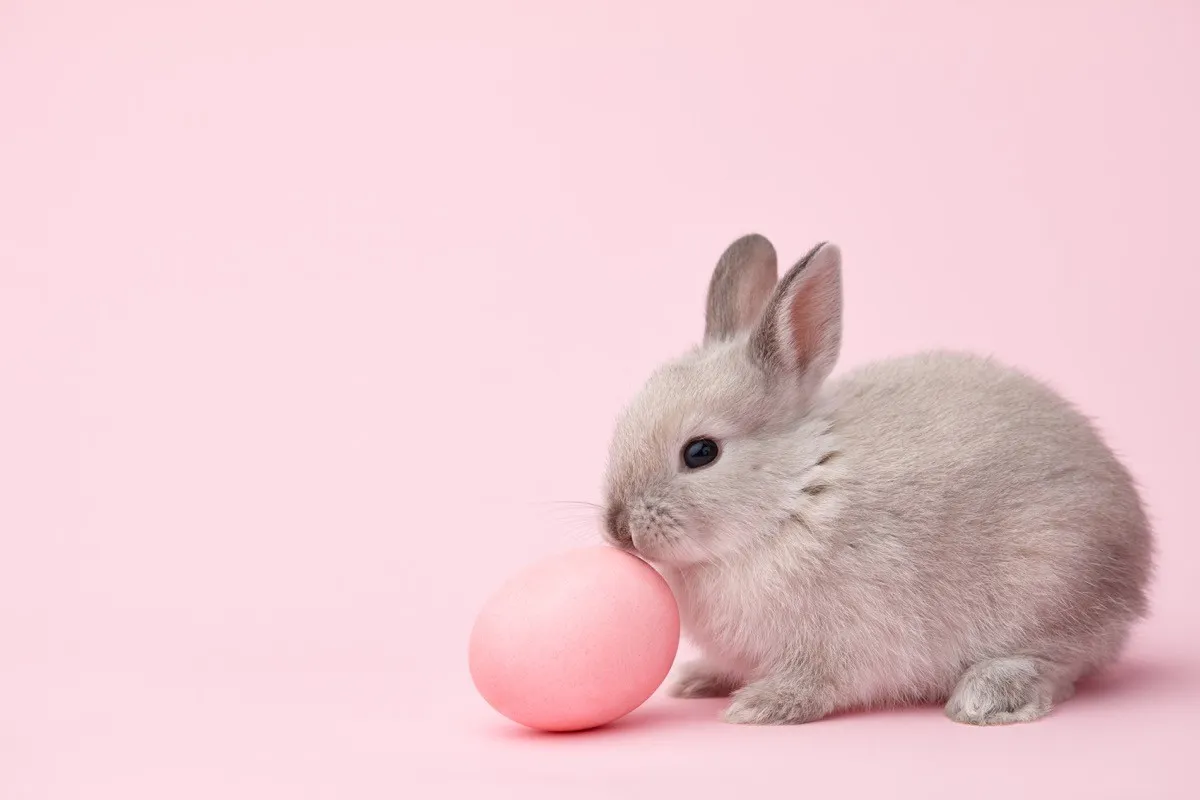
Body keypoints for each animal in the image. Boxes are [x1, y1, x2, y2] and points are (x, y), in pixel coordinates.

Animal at [600, 234, 1152, 725]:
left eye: (701, 452)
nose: (617, 528)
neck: (796, 494)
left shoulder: (839, 642)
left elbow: (817, 681)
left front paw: (762, 706)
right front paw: (701, 679)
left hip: (1052, 588)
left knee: (1059, 664)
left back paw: (987, 696)